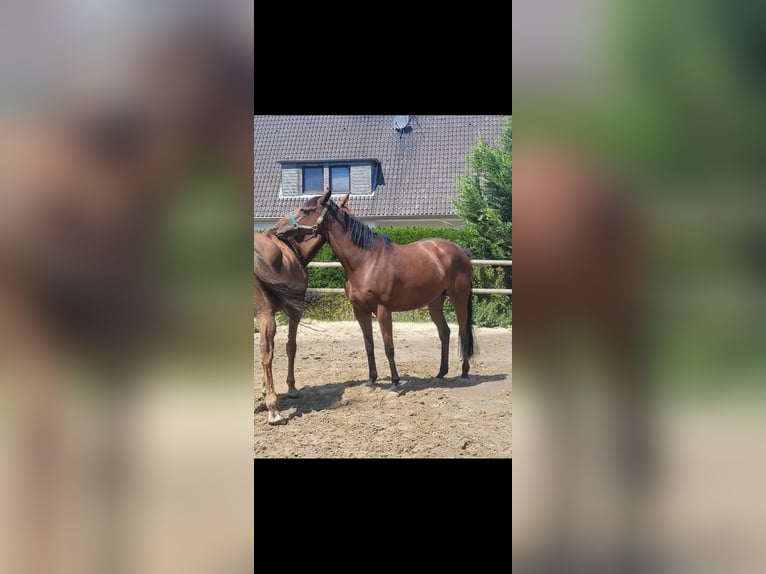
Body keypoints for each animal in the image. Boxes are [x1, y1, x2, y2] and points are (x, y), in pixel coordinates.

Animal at [273, 189, 476, 393]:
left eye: (306, 210)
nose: (277, 229)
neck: (365, 261)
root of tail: (460, 251)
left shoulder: (383, 310)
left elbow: (388, 346)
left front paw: (394, 383)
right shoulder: (360, 311)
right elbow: (369, 345)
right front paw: (371, 380)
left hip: (458, 299)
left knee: (463, 331)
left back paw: (465, 373)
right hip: (435, 302)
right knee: (445, 332)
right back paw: (440, 373)